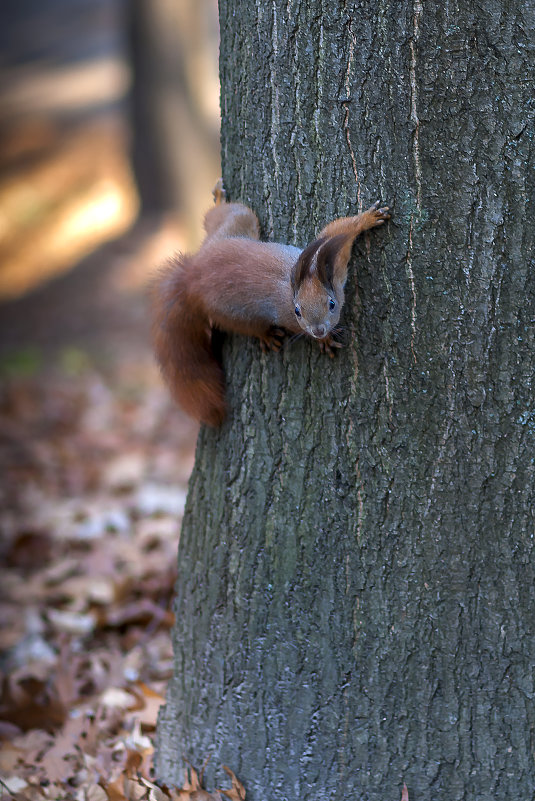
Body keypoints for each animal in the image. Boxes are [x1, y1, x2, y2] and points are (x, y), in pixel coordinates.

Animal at [151, 179, 390, 428]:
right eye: (297, 311)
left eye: (332, 304)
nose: (318, 330)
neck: (292, 289)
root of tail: (192, 277)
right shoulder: (291, 316)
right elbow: (335, 230)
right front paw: (323, 340)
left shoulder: (329, 260)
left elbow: (339, 229)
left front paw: (367, 219)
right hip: (229, 314)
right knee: (246, 326)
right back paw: (266, 336)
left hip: (232, 227)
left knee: (221, 217)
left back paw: (218, 198)